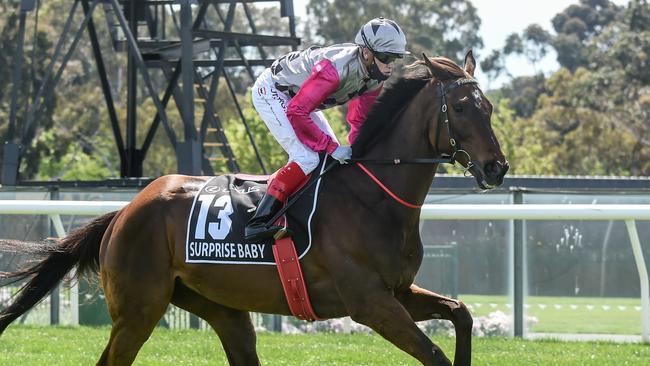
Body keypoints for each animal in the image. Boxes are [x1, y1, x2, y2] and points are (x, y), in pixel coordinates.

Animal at [0, 52, 506, 366]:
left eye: (489, 108)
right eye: (462, 107)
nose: (497, 168)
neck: (372, 195)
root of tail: (124, 212)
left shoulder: (398, 292)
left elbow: (461, 312)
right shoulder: (369, 303)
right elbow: (434, 354)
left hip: (222, 308)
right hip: (138, 309)